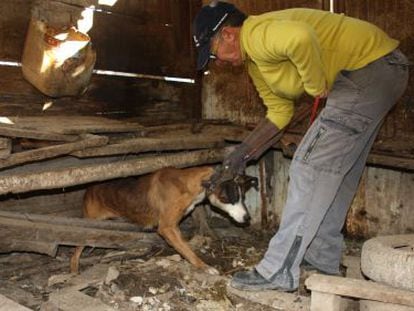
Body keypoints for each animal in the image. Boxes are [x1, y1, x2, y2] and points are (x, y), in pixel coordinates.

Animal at [71, 166, 258, 276]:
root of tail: (90, 187)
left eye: (243, 197)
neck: (191, 185)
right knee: (75, 254)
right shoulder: (167, 228)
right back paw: (74, 271)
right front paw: (203, 266)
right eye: (230, 198)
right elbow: (187, 250)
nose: (247, 218)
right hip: (87, 225)